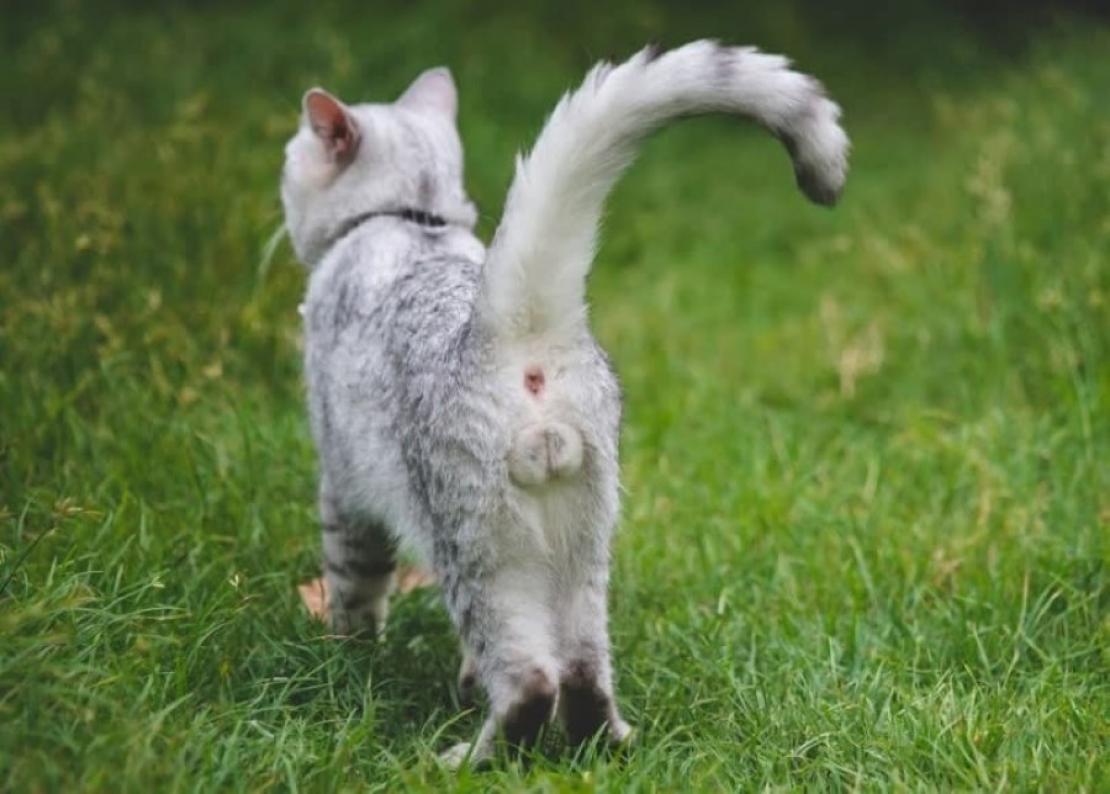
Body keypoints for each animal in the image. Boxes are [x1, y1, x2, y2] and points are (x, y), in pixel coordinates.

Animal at [279, 40, 848, 768]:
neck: (414, 223)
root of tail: (514, 325)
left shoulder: (343, 488)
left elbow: (353, 586)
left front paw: (346, 654)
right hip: (584, 541)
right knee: (582, 671)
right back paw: (601, 744)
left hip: (479, 549)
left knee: (530, 680)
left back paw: (472, 758)